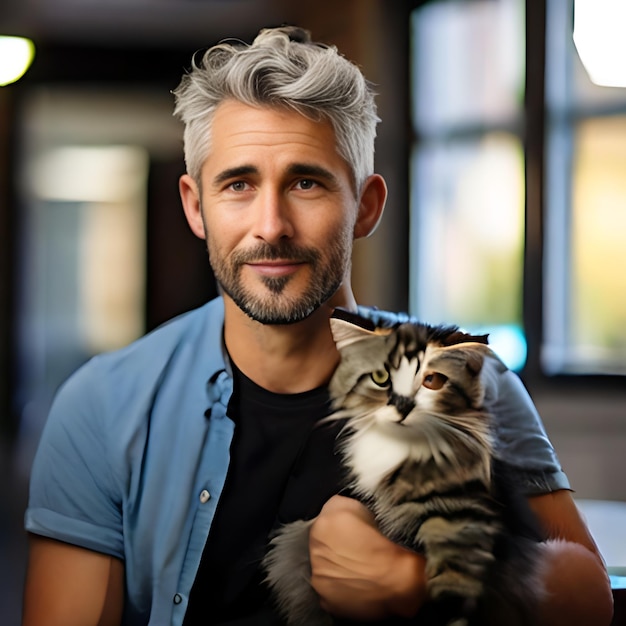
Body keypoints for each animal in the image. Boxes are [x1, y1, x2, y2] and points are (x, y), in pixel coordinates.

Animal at [260, 308, 544, 624]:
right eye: (381, 377)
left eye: (432, 380)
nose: (403, 405)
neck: (400, 446)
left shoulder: (466, 517)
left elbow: (456, 586)